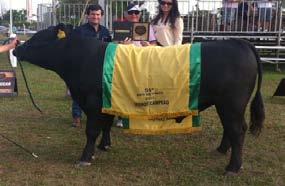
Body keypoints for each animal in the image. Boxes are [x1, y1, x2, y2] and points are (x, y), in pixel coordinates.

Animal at [12, 24, 262, 175]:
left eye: (38, 39)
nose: (16, 50)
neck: (82, 58)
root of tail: (237, 42)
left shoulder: (93, 103)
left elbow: (92, 130)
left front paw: (85, 157)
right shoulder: (106, 101)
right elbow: (105, 126)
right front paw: (104, 146)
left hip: (232, 103)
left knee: (237, 130)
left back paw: (233, 167)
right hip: (227, 104)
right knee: (231, 129)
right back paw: (221, 150)